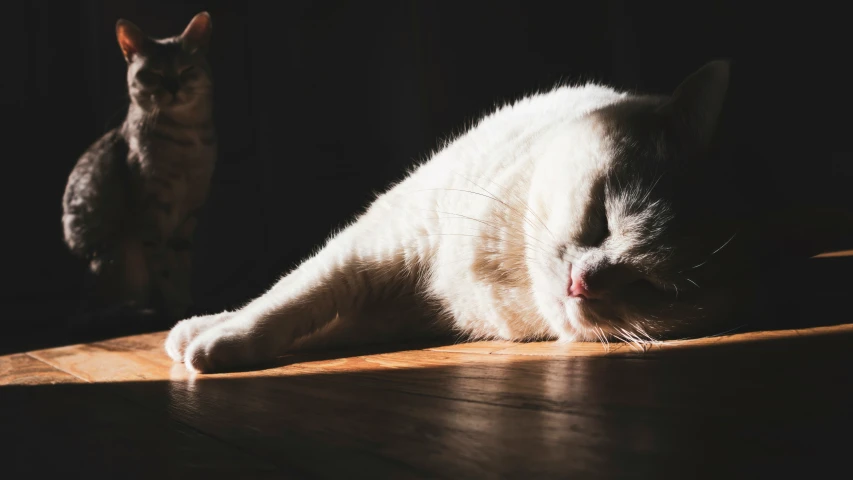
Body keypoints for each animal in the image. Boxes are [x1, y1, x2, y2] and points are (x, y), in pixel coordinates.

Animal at [62, 13, 215, 326]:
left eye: (187, 70)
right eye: (153, 74)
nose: (173, 87)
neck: (187, 140)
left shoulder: (188, 215)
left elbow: (182, 268)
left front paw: (187, 305)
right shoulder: (152, 215)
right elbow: (165, 270)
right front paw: (176, 309)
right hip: (121, 253)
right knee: (108, 306)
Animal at [165, 60, 812, 374]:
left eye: (656, 288)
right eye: (602, 219)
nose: (582, 282)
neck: (510, 265)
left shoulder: (394, 298)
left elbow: (313, 313)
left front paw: (225, 345)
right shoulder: (377, 245)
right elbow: (291, 298)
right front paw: (221, 335)